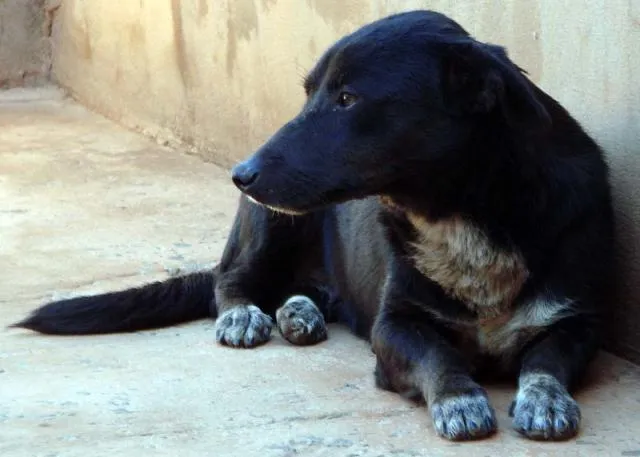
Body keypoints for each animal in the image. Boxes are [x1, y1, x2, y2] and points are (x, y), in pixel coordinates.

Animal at [13, 10, 616, 442]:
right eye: (309, 94)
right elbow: (439, 355)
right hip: (269, 222)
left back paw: (299, 311)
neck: (465, 213)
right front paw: (460, 399)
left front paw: (544, 398)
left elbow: (544, 359)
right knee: (228, 281)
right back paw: (246, 315)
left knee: (305, 290)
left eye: (347, 99)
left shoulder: (577, 323)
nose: (240, 174)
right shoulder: (394, 327)